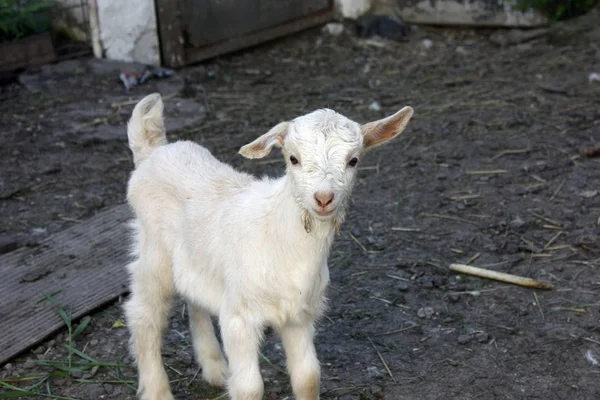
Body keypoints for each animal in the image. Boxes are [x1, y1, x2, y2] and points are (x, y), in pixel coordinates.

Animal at [122, 91, 412, 400]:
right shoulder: (239, 317)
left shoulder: (299, 315)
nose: (323, 198)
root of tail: (152, 151)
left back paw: (215, 367)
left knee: (194, 299)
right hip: (153, 254)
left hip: (194, 259)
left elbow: (308, 377)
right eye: (293, 158)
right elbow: (250, 388)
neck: (277, 232)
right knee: (144, 317)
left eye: (354, 160)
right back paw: (158, 390)